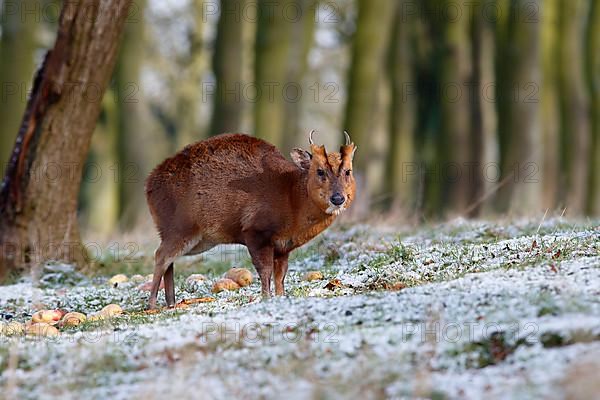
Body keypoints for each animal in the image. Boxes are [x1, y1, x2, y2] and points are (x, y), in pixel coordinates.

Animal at [145, 130, 356, 308]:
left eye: (348, 171)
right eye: (319, 171)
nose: (338, 198)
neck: (291, 200)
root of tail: (148, 185)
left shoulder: (283, 246)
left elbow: (280, 275)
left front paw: (280, 296)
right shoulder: (255, 230)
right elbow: (264, 270)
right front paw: (266, 298)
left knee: (168, 260)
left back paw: (171, 302)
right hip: (180, 227)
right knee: (161, 255)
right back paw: (152, 305)